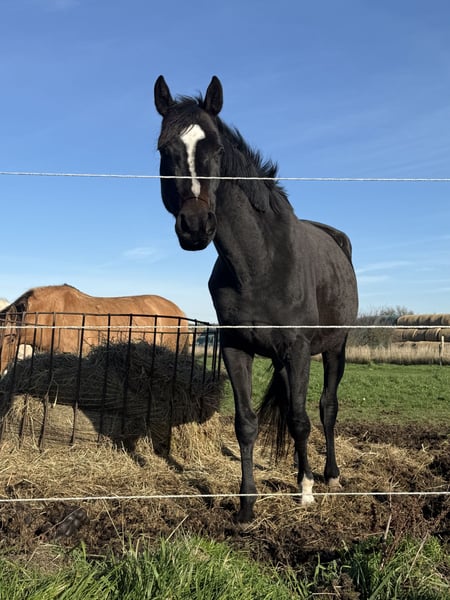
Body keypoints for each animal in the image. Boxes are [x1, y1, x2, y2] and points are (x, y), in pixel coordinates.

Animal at [154, 75, 358, 522]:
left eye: (216, 149)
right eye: (164, 149)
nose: (196, 227)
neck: (259, 263)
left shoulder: (298, 349)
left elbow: (300, 419)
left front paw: (305, 491)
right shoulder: (236, 348)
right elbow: (246, 423)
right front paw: (247, 504)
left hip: (335, 347)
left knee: (326, 407)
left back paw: (330, 475)